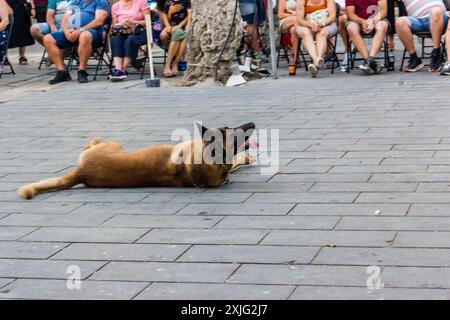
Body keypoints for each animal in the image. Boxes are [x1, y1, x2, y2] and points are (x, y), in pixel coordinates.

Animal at [18, 123, 256, 200]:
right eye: (231, 129)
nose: (252, 123)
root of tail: (82, 171)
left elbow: (233, 165)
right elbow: (236, 162)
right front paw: (244, 158)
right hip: (115, 144)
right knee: (91, 145)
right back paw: (94, 138)